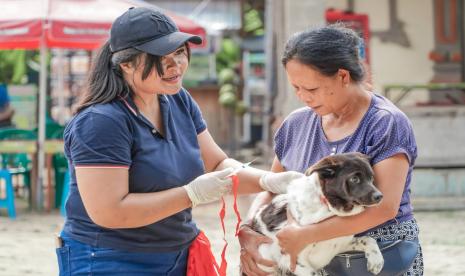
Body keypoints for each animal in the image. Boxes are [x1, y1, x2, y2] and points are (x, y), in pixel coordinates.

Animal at [250, 153, 384, 276]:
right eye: (354, 179)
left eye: (371, 178)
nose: (380, 196)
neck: (327, 207)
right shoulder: (295, 261)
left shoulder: (341, 244)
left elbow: (368, 239)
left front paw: (376, 261)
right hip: (265, 257)